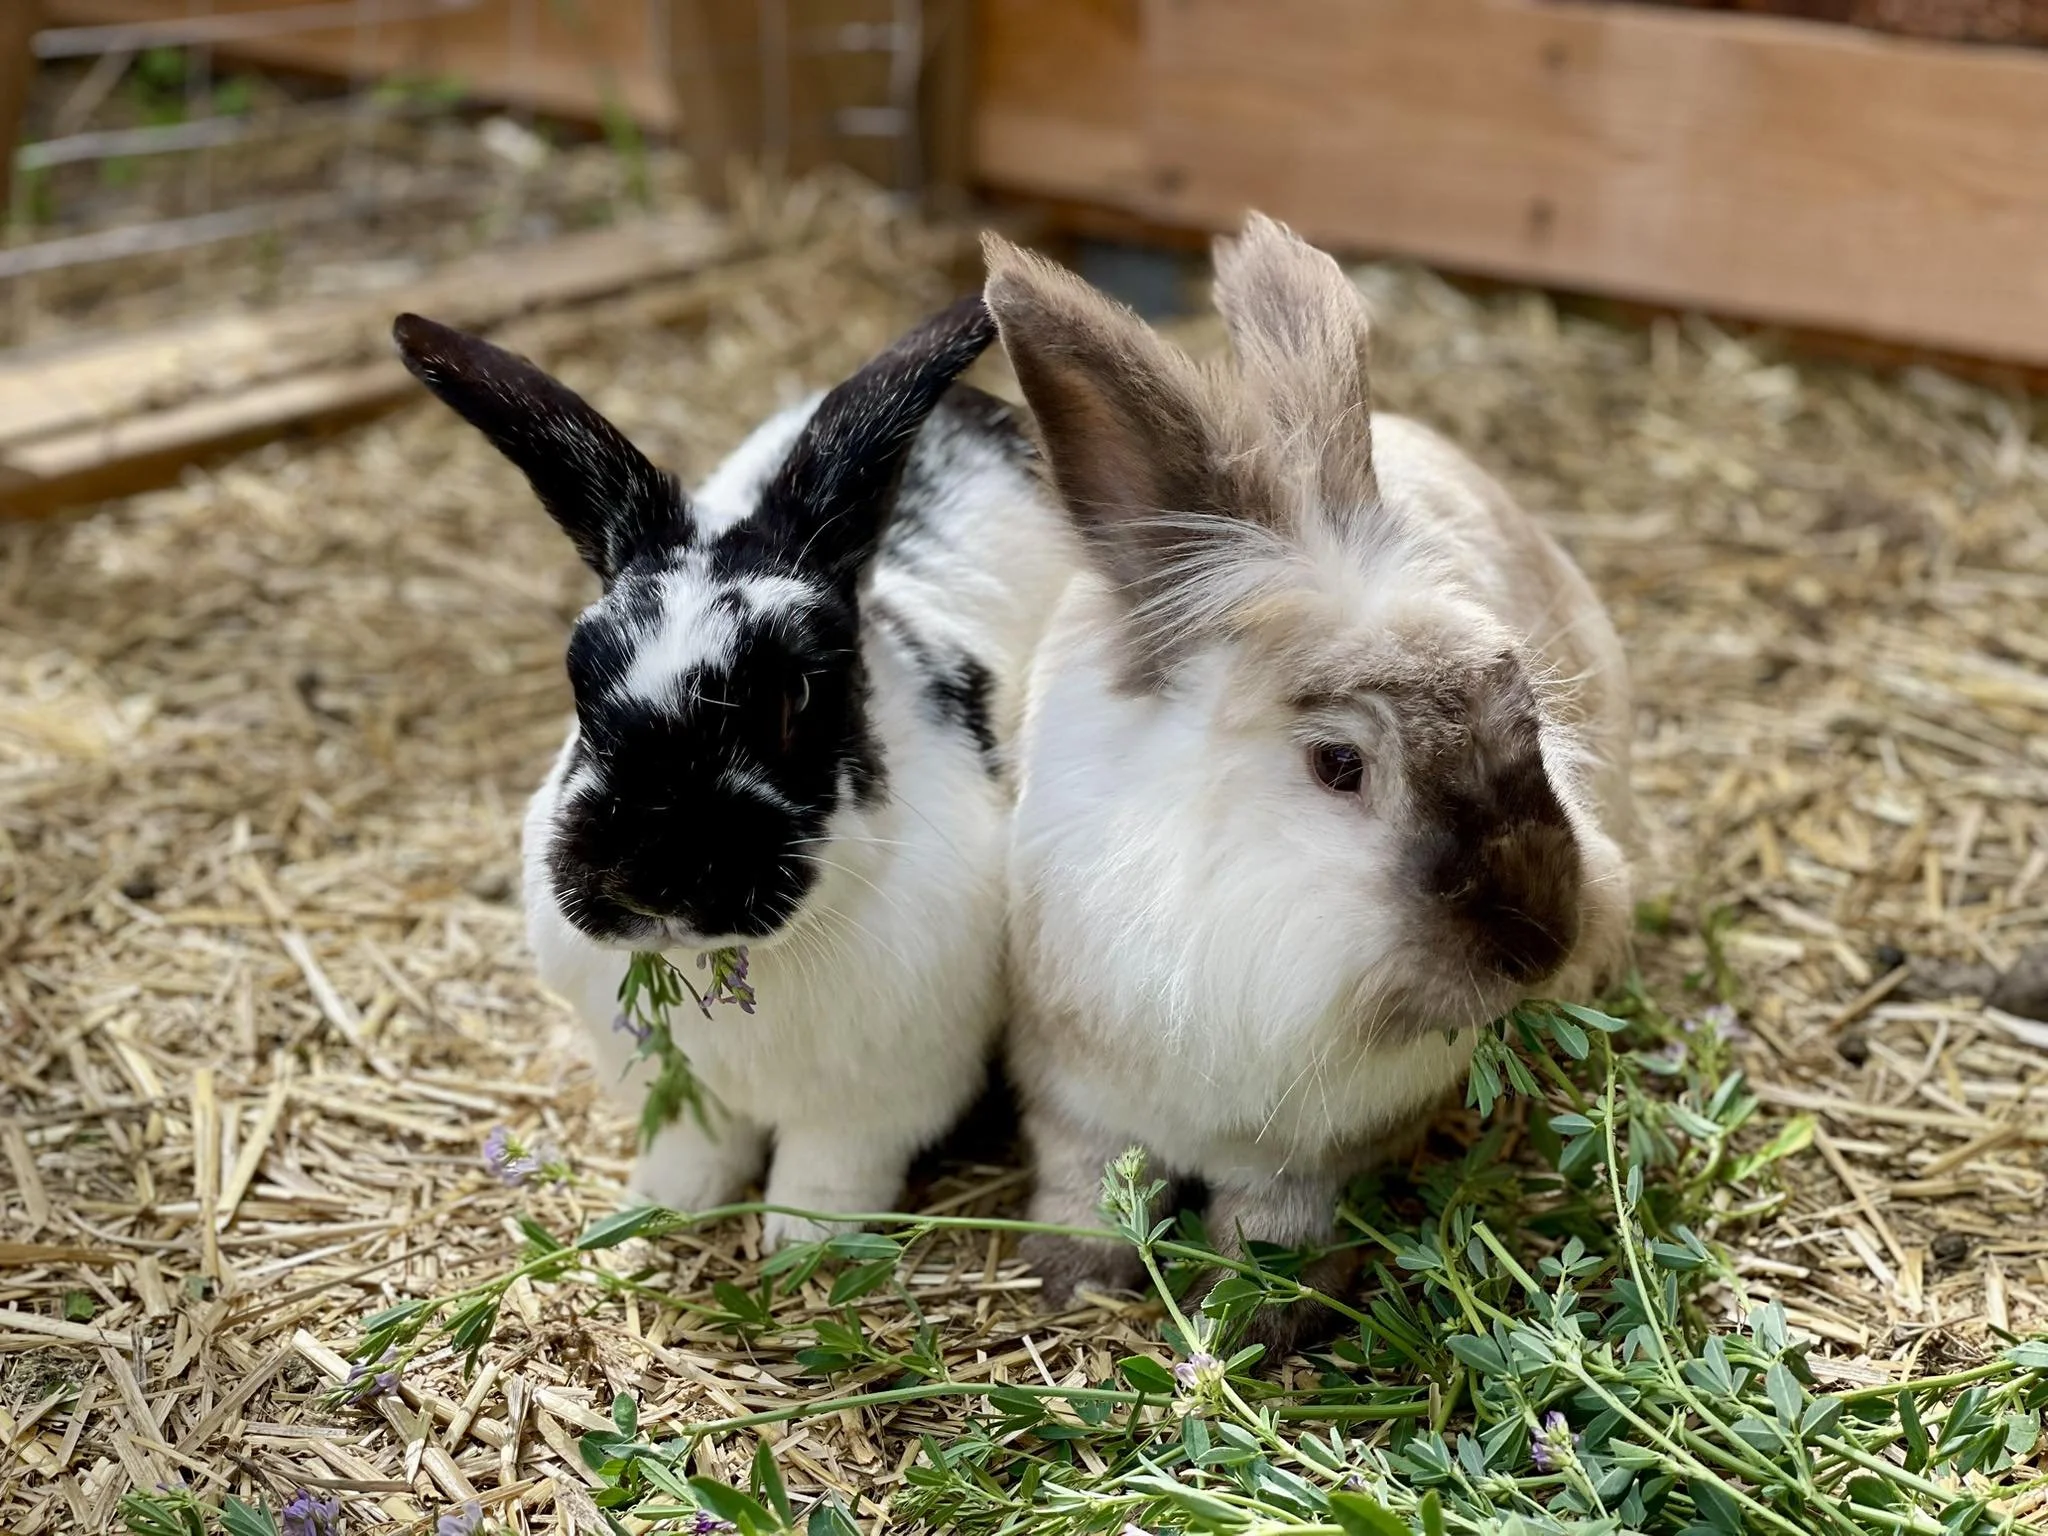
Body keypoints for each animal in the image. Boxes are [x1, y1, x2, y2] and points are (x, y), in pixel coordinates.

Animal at [393, 296, 1077, 1249]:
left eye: (796, 695)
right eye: (580, 682)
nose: (650, 881)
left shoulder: (875, 1099)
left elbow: (827, 1170)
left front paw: (804, 1243)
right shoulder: (679, 1090)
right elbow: (694, 1150)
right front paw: (660, 1209)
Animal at [983, 217, 1635, 1350]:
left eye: (1526, 716)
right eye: (1339, 765)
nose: (1538, 944)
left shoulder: (1306, 1156)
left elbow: (1271, 1227)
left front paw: (1256, 1315)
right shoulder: (1074, 1092)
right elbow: (1088, 1181)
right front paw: (1071, 1274)